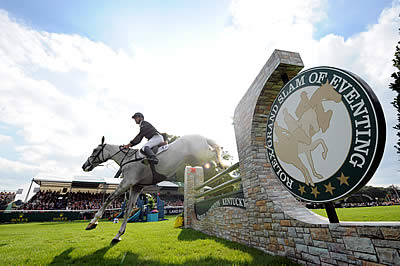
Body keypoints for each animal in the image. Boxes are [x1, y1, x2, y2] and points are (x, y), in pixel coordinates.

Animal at [81, 135, 228, 243]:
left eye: (95, 150)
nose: (84, 166)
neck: (127, 159)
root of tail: (202, 136)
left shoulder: (126, 183)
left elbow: (109, 199)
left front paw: (93, 222)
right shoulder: (136, 188)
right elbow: (128, 211)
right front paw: (118, 235)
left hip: (202, 154)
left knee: (215, 152)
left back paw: (223, 164)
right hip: (198, 157)